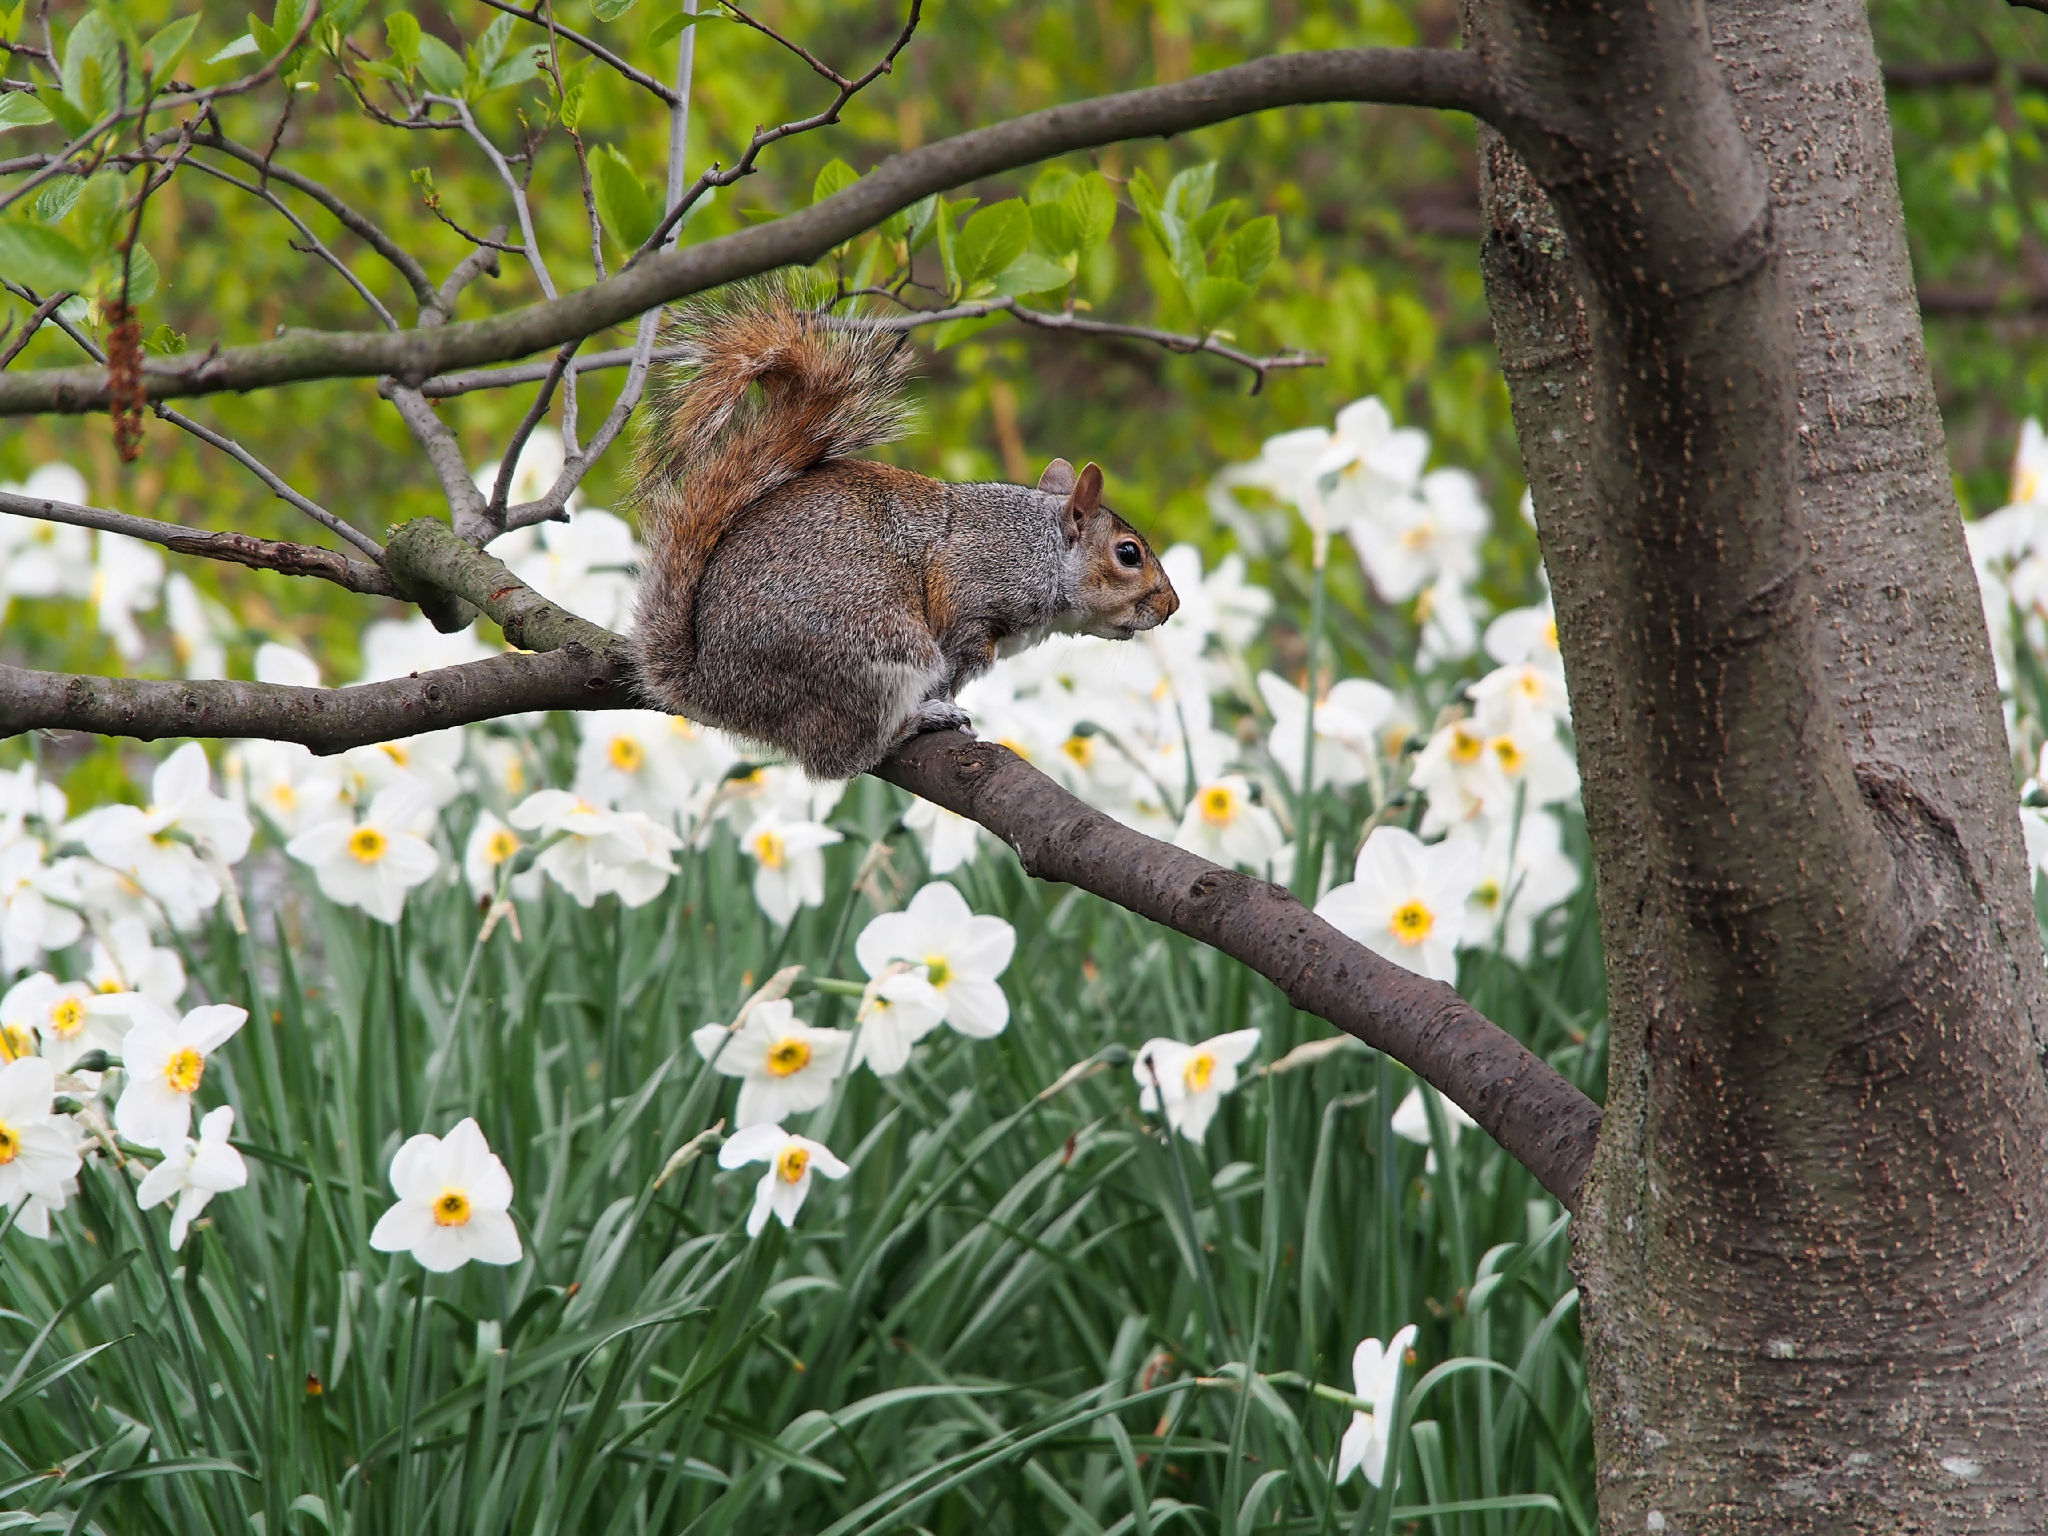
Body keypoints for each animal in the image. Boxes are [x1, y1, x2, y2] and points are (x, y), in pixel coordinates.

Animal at [629, 283, 1181, 781]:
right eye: (1128, 554)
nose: (1171, 606)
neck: (1040, 548)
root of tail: (714, 686)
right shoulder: (972, 600)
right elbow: (951, 664)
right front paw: (943, 705)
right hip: (878, 648)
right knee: (839, 761)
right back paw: (913, 723)